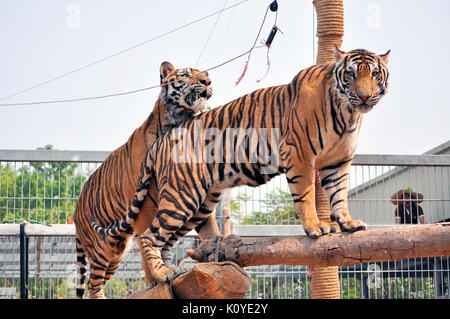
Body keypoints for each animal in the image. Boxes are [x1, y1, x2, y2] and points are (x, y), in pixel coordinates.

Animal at [73, 62, 219, 300]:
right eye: (186, 74)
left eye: (206, 74)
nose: (207, 81)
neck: (179, 122)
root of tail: (76, 210)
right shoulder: (145, 206)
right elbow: (147, 243)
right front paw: (156, 280)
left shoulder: (193, 192)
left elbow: (212, 232)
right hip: (101, 248)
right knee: (93, 284)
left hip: (116, 250)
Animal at [91, 47, 390, 282]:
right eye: (350, 75)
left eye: (375, 74)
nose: (365, 96)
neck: (347, 112)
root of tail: (162, 139)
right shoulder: (300, 155)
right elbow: (306, 196)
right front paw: (317, 228)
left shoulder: (337, 162)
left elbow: (339, 195)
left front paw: (348, 223)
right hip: (182, 196)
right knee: (148, 235)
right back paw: (162, 274)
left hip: (201, 204)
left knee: (167, 240)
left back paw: (172, 273)